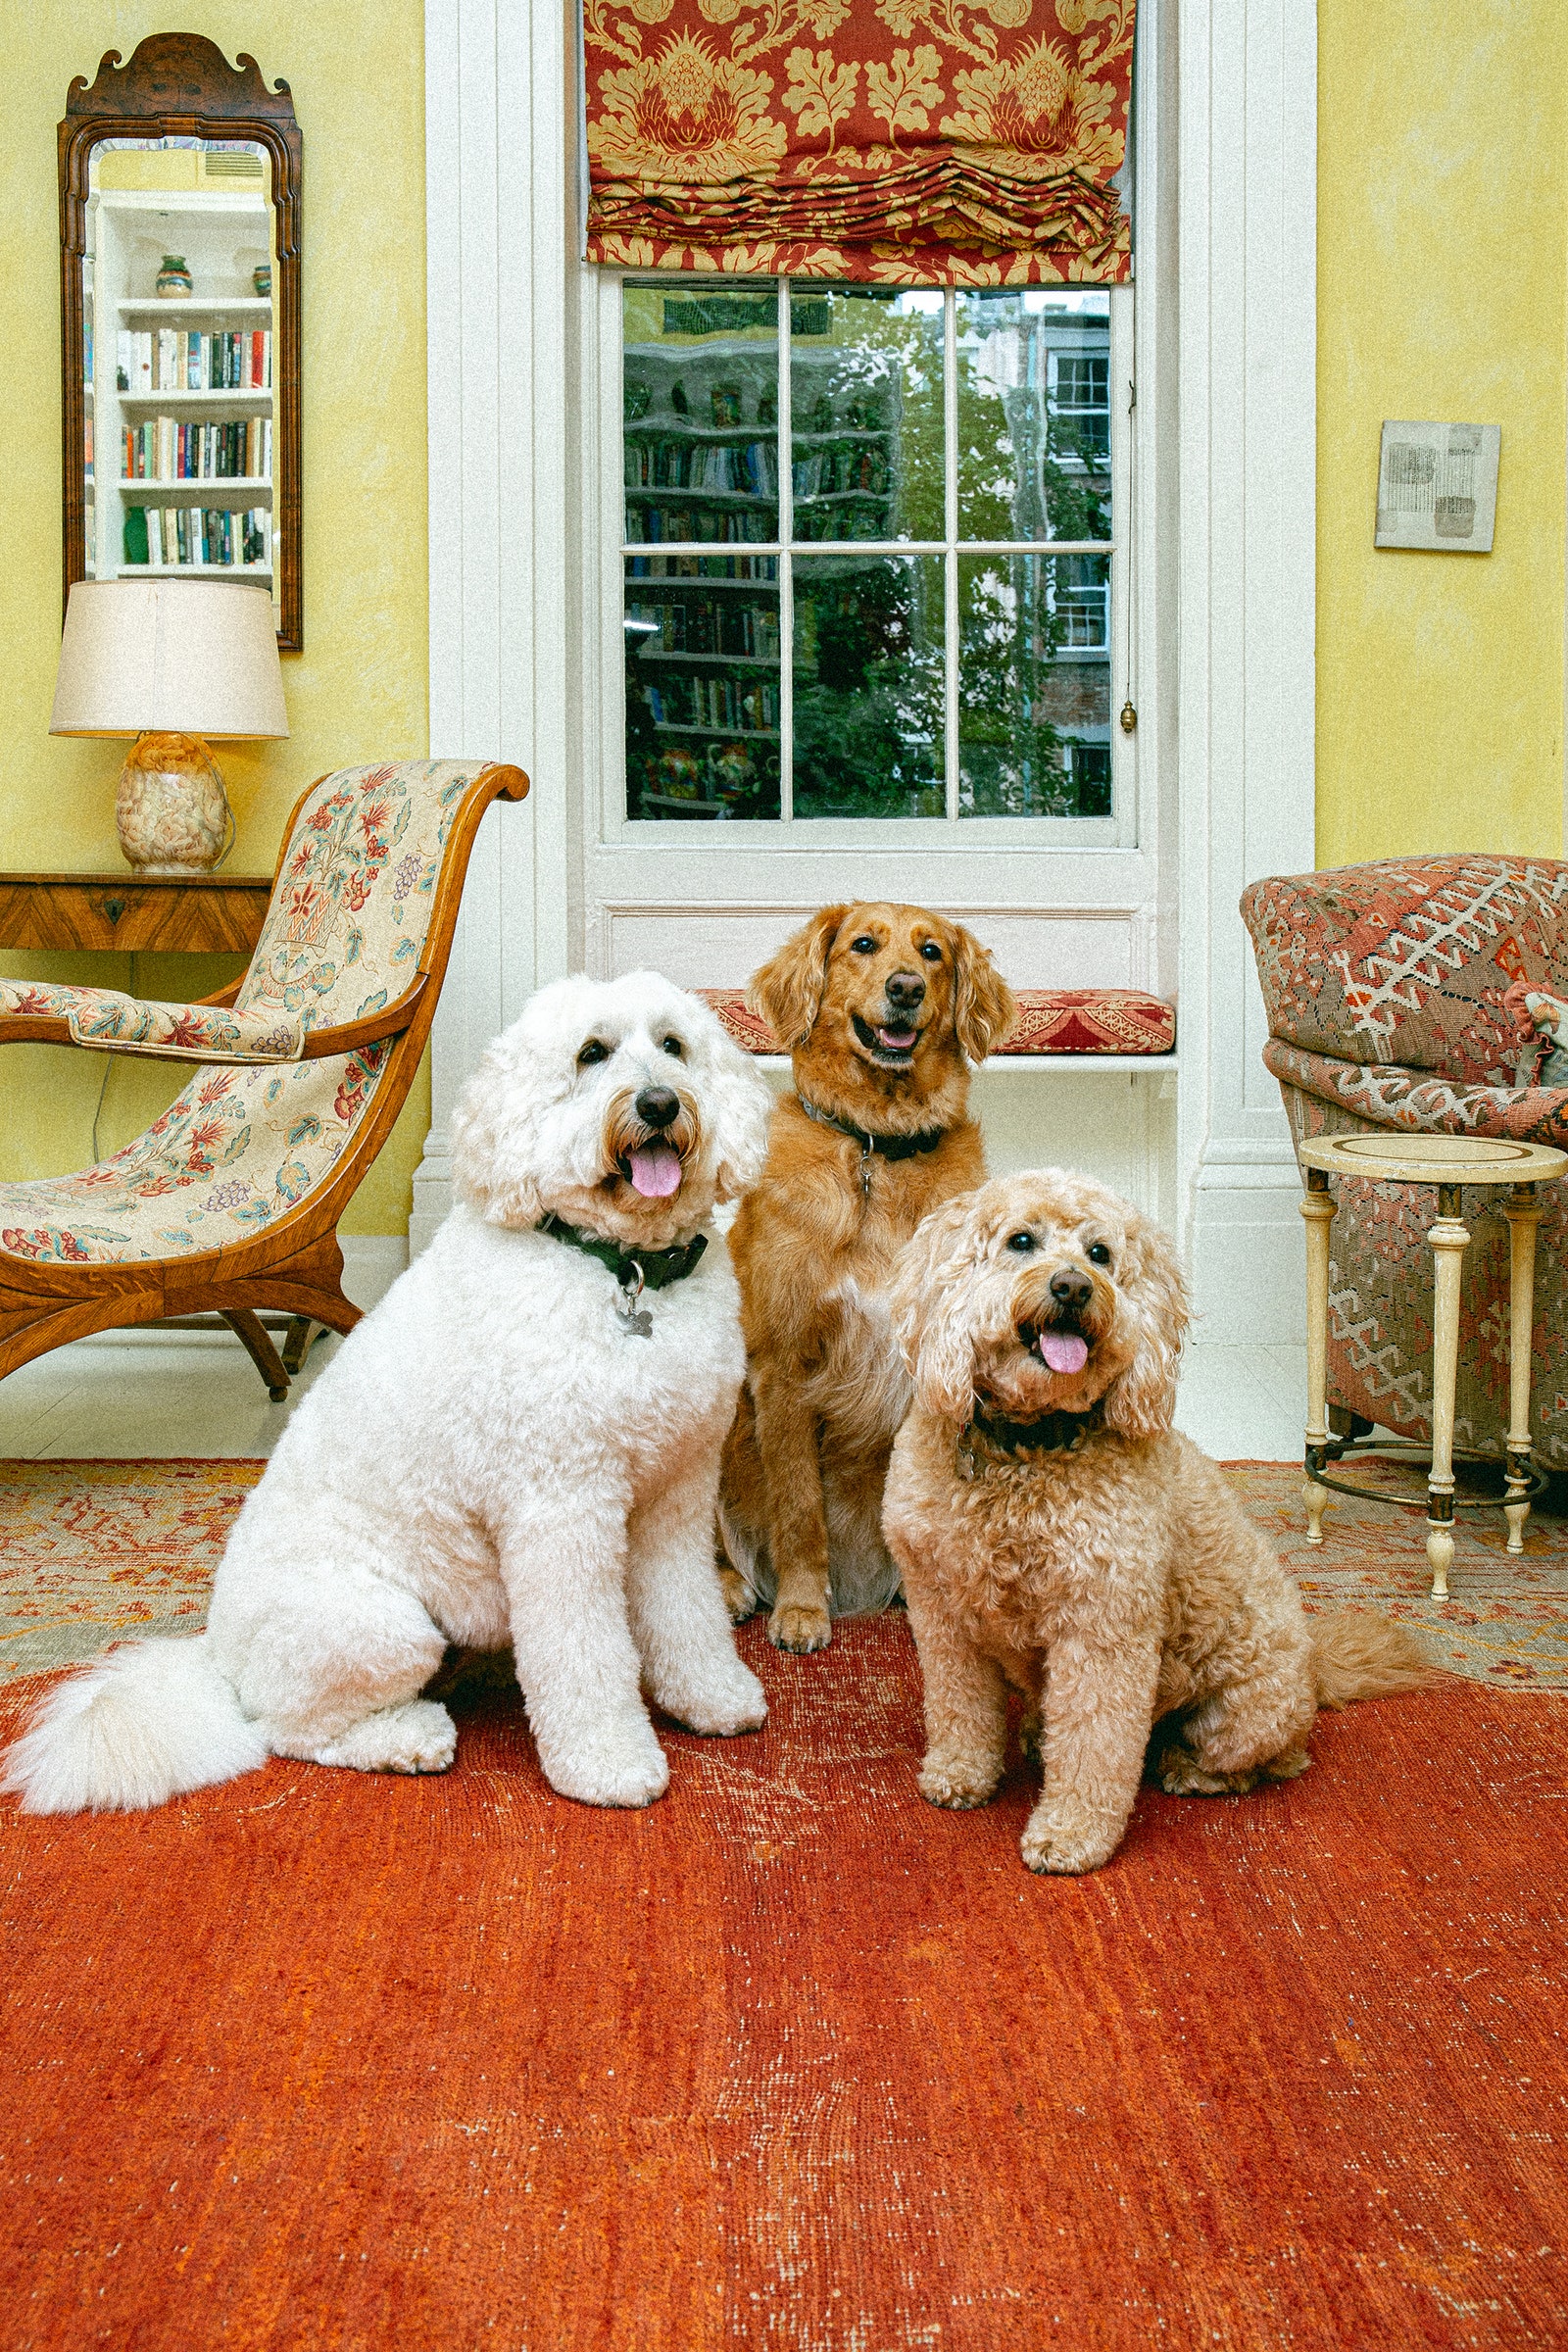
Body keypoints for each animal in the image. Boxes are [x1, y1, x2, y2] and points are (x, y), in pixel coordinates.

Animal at [6, 973, 775, 1815]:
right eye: (591, 1053)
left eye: (673, 1045)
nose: (661, 1104)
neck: (621, 1270)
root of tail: (216, 1657)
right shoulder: (561, 1512)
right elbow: (584, 1654)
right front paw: (606, 1762)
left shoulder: (674, 1495)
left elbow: (686, 1612)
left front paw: (711, 1698)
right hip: (386, 1627)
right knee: (290, 1731)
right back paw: (408, 1739)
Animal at [719, 898, 1020, 1655]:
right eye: (863, 945)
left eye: (932, 952)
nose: (906, 987)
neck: (878, 1148)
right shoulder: (784, 1367)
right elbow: (798, 1509)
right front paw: (801, 1608)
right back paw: (733, 1587)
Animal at [883, 1171, 1439, 1872]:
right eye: (1021, 1241)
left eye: (1100, 1254)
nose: (1073, 1287)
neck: (1028, 1449)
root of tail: (1315, 1664)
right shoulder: (942, 1614)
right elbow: (960, 1709)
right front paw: (959, 1776)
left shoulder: (1102, 1625)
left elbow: (1094, 1743)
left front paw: (1071, 1834)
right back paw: (1038, 1733)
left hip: (1244, 1710)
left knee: (1274, 1759)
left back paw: (1191, 1769)